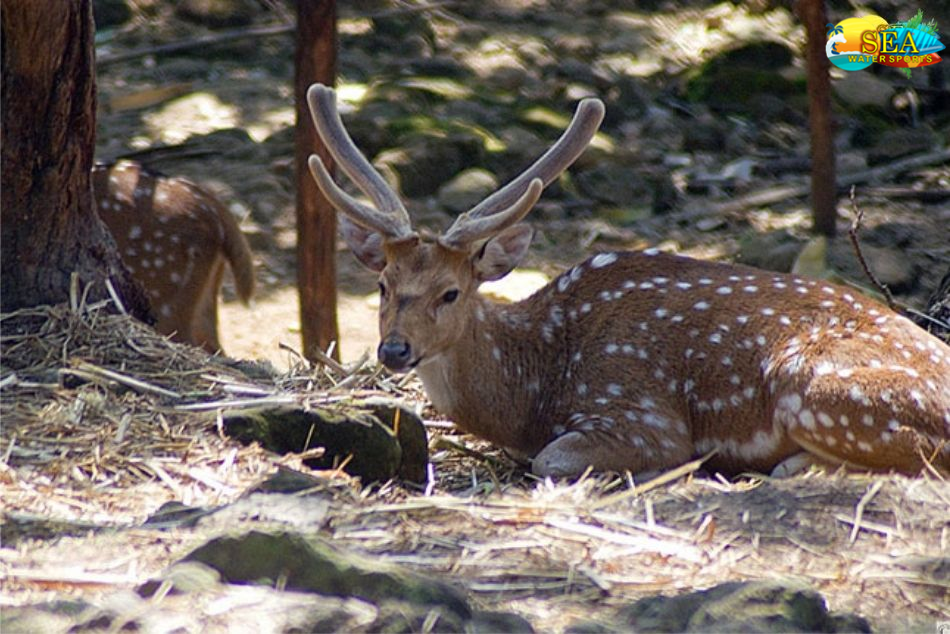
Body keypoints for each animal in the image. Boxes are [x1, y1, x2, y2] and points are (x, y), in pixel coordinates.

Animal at [304, 85, 950, 478]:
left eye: (451, 291)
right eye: (383, 284)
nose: (394, 349)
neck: (534, 390)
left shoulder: (638, 412)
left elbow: (551, 460)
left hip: (820, 394)